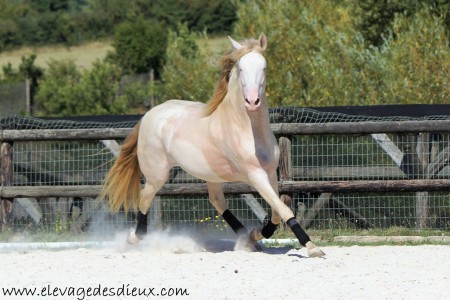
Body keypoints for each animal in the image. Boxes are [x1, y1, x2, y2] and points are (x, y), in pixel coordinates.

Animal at [100, 33, 326, 258]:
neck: (246, 130)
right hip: (157, 174)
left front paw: (255, 235)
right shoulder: (255, 175)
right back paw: (134, 238)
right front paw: (312, 247)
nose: (252, 101)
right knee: (144, 198)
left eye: (264, 67)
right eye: (241, 69)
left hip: (211, 175)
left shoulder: (270, 173)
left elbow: (277, 214)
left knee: (217, 201)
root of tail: (148, 115)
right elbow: (284, 209)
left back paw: (246, 239)